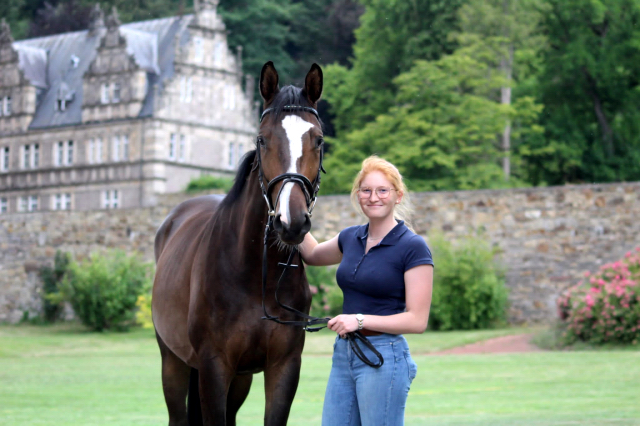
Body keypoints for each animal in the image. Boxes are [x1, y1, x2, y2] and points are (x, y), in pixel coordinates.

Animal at [152, 60, 324, 426]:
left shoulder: (283, 367)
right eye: (261, 139)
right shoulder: (214, 367)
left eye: (318, 140)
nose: (291, 222)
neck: (255, 274)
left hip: (240, 378)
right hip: (172, 361)